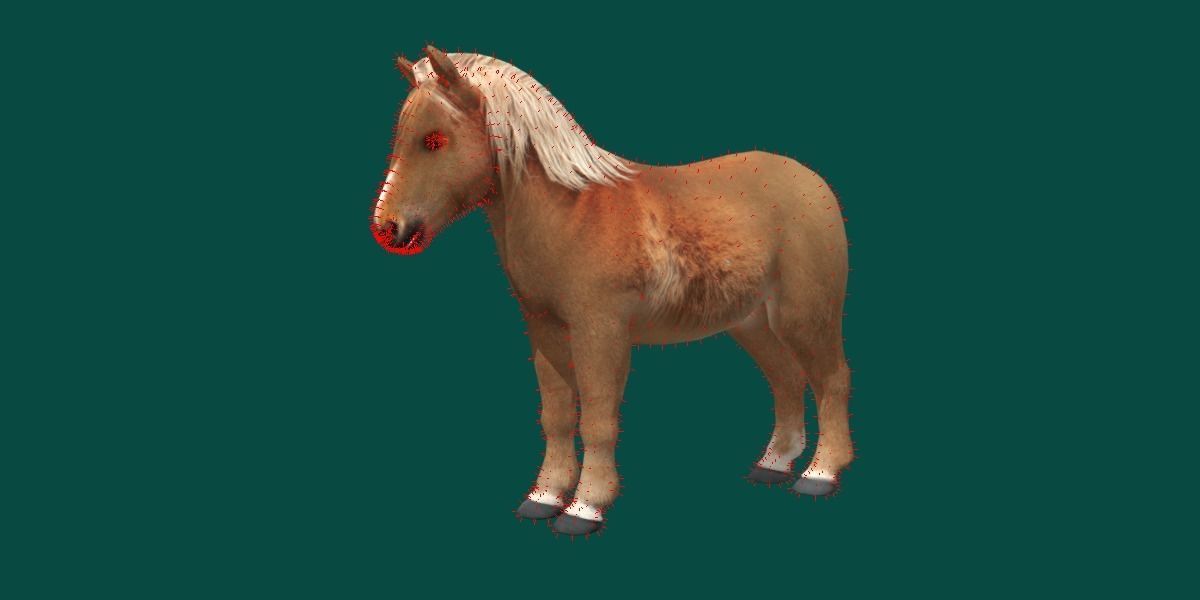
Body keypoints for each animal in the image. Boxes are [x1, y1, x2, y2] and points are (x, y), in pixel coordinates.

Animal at [370, 46, 853, 536]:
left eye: (434, 140)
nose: (389, 228)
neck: (571, 214)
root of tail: (811, 181)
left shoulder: (599, 332)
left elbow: (599, 419)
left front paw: (584, 507)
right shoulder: (545, 331)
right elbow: (558, 417)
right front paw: (544, 497)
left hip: (802, 314)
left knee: (831, 379)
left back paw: (819, 474)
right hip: (750, 321)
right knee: (787, 379)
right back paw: (774, 464)